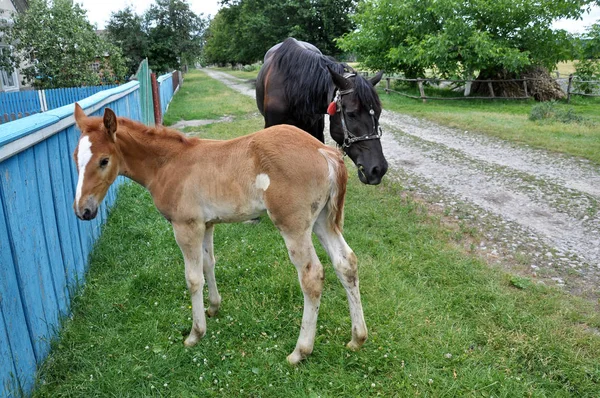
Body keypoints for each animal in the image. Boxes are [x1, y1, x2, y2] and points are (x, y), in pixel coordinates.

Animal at [72, 104, 368, 366]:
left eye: (104, 160)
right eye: (75, 158)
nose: (82, 210)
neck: (169, 164)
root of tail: (324, 150)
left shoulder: (186, 226)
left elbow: (193, 279)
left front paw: (195, 334)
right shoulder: (206, 224)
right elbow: (208, 264)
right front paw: (213, 308)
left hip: (294, 225)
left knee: (311, 276)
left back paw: (300, 351)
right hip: (322, 221)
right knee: (346, 263)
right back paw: (357, 338)